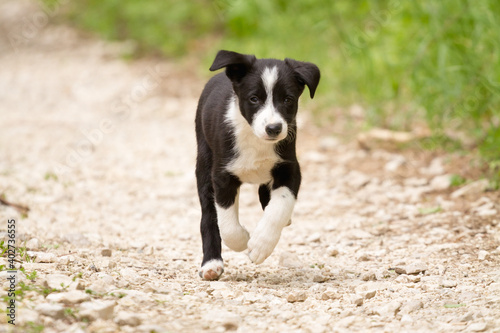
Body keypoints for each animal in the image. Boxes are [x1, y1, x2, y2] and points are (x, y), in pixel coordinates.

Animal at [193, 49, 318, 278]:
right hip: (204, 161)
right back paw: (211, 264)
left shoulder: (289, 168)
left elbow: (280, 206)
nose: (274, 128)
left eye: (288, 99)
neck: (255, 140)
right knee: (209, 215)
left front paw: (261, 244)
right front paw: (243, 240)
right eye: (254, 99)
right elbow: (226, 222)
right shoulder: (222, 175)